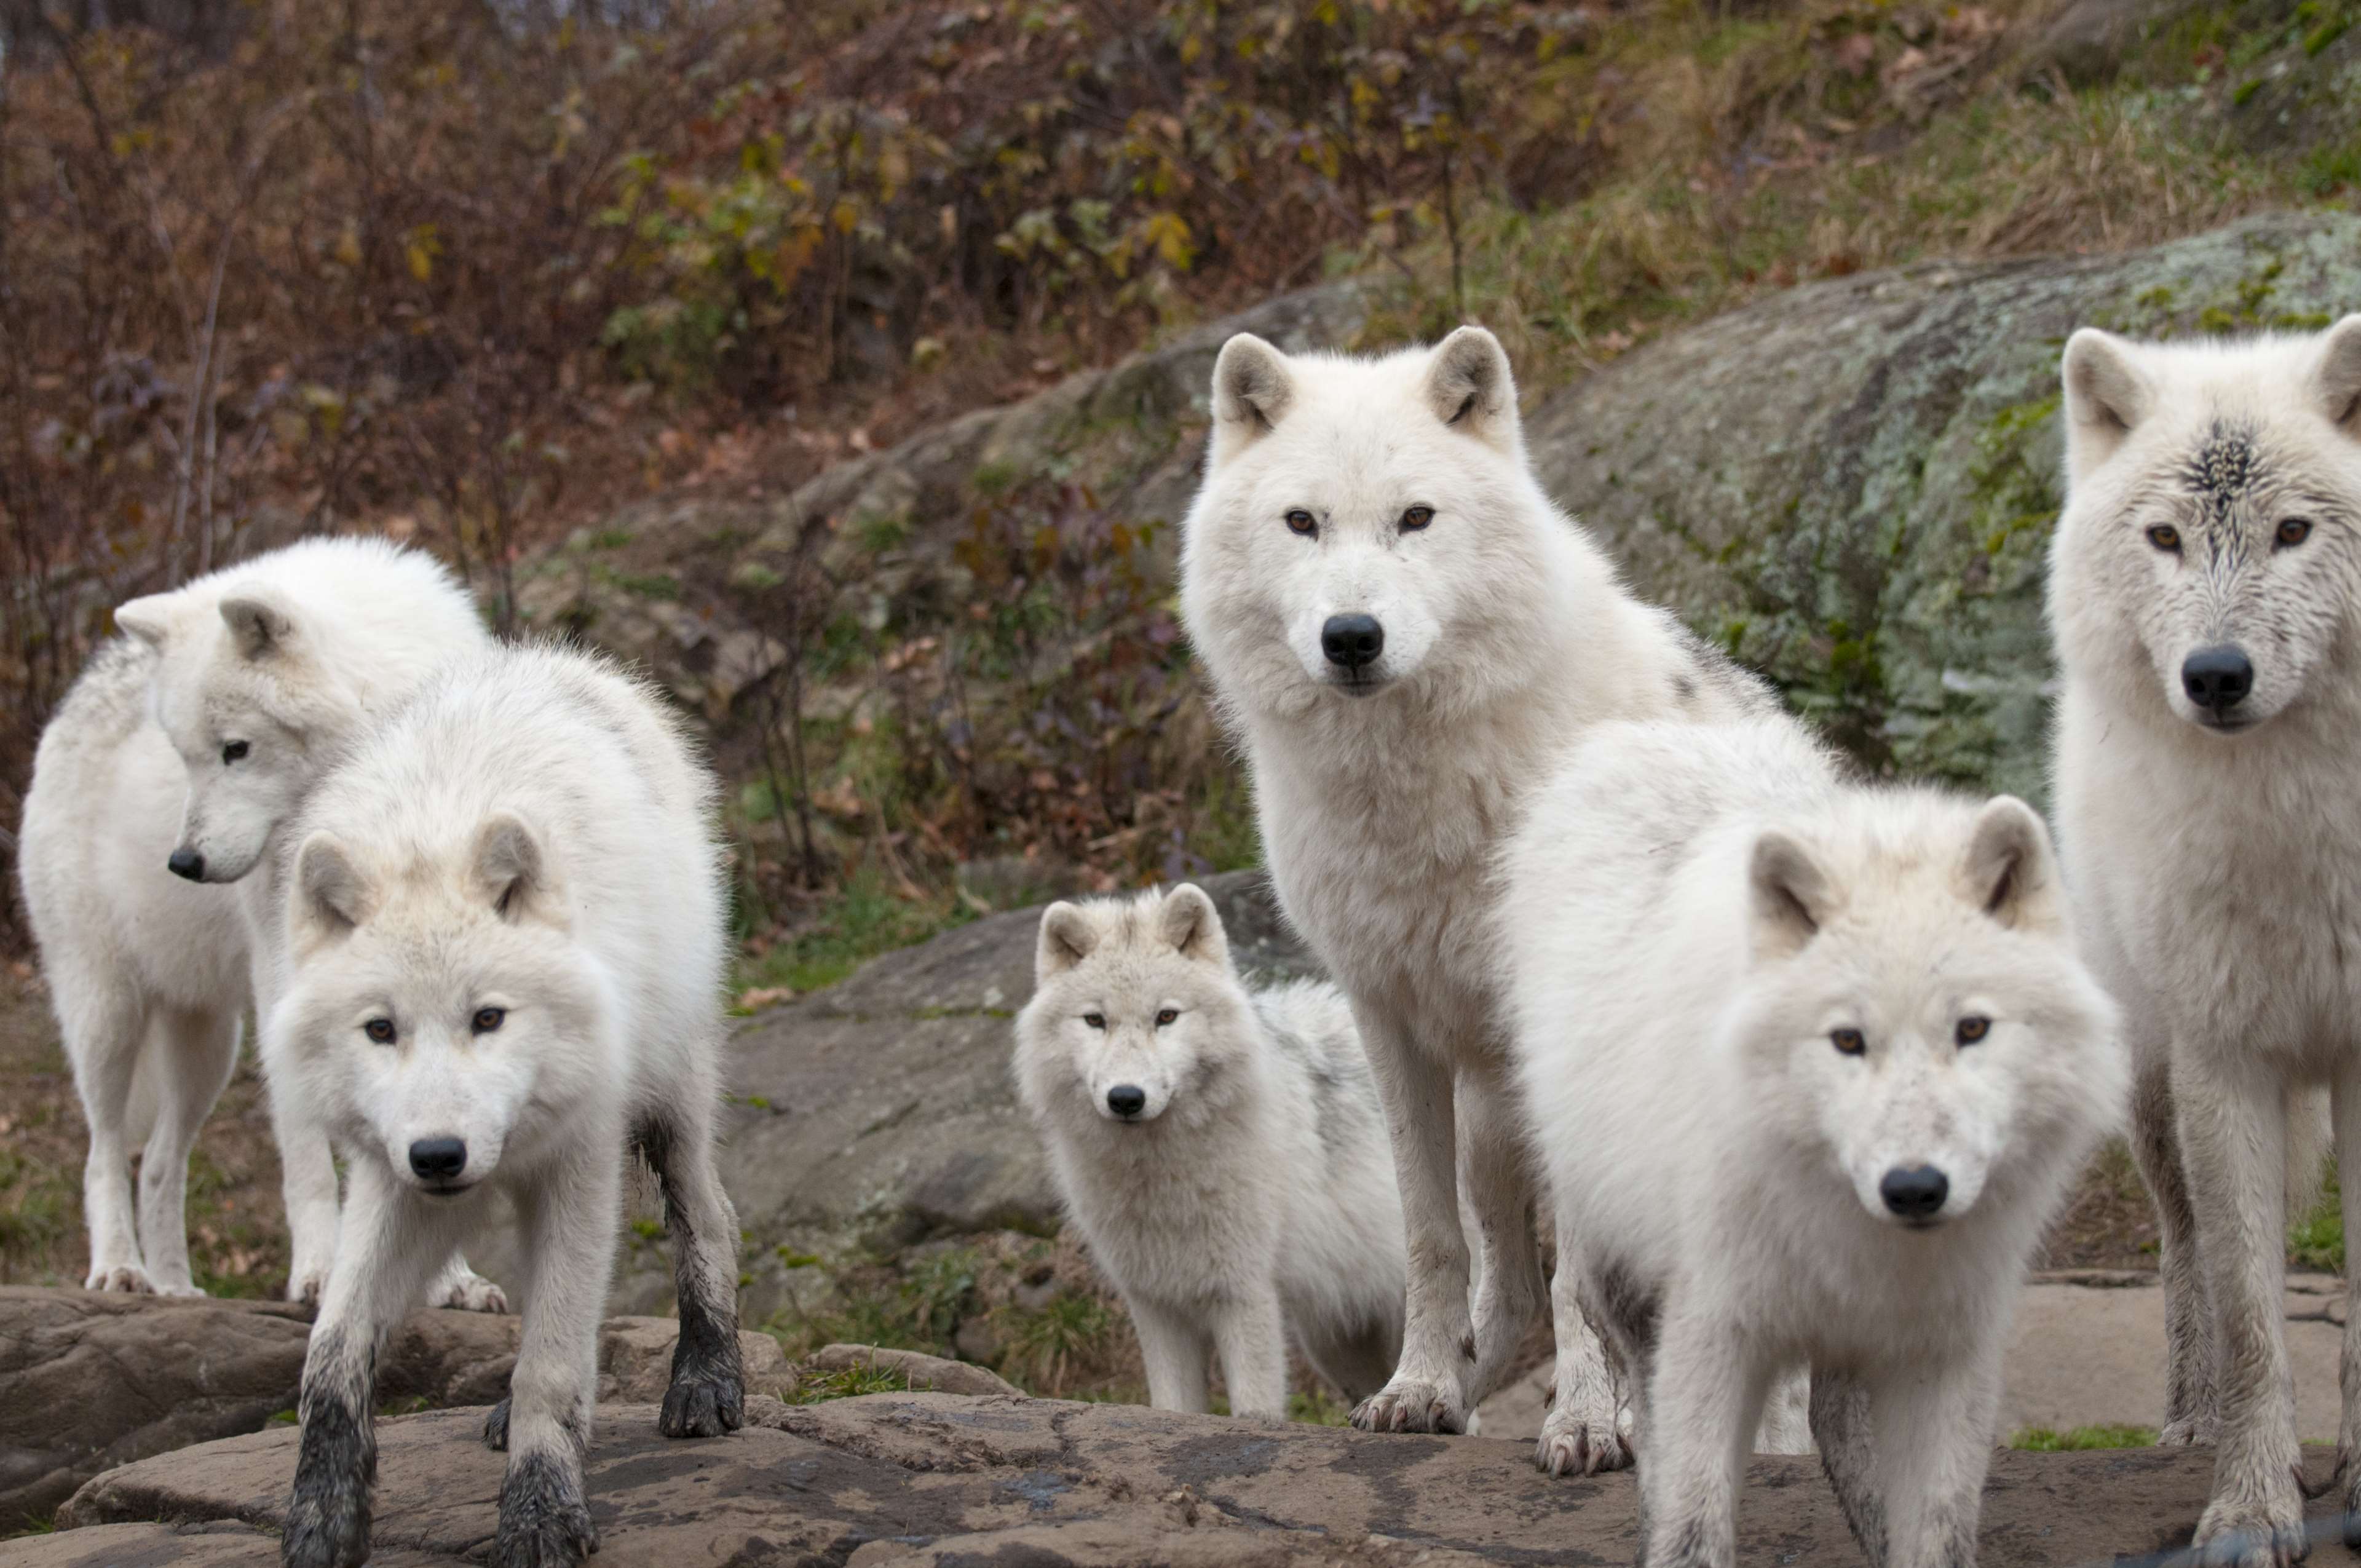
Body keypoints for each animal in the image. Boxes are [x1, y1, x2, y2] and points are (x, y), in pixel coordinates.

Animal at [16, 536, 502, 1307]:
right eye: (184, 756)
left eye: (235, 749)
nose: (182, 863)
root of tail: (79, 689)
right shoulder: (287, 981)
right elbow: (308, 1154)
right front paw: (321, 1273)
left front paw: (450, 1280)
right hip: (107, 1016)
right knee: (102, 1154)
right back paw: (120, 1271)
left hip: (207, 1043)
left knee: (160, 1163)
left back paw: (176, 1292)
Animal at [265, 641, 741, 1568]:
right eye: (381, 1029)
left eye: (488, 1018)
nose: (441, 1155)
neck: (428, 832)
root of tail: (567, 662)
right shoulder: (389, 1178)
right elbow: (330, 1352)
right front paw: (322, 1519)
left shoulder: (580, 1163)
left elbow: (551, 1363)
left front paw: (539, 1515)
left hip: (671, 1105)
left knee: (710, 1218)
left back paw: (707, 1379)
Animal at [1012, 884, 1406, 1417]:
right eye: (1095, 1020)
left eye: (1166, 1017)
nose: (1126, 1098)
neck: (1159, 1177)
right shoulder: (1156, 1306)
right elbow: (1174, 1407)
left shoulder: (1244, 1295)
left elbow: (1255, 1409)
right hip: (1337, 1344)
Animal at [1179, 324, 1773, 1448]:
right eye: (1303, 523)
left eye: (1415, 518)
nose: (1352, 636)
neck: (1419, 796)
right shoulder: (1386, 1017)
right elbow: (1432, 1240)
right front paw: (1416, 1387)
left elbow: (1583, 1271)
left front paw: (1586, 1423)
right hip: (1491, 1125)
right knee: (1511, 1283)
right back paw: (1459, 1391)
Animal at [1503, 715, 2124, 1568]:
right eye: (1847, 1041)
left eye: (1972, 1030)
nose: (1915, 1188)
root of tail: (1665, 733)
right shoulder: (1716, 1326)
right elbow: (1694, 1521)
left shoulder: (1946, 1346)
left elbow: (1939, 1528)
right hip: (1621, 1269)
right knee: (1652, 1419)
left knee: (1831, 1414)